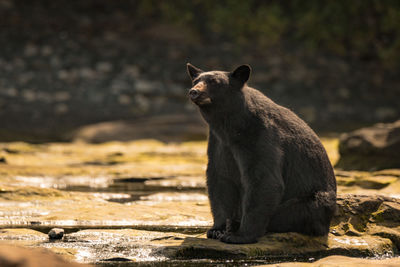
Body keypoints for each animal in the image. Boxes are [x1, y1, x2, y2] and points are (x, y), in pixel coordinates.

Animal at [186, 63, 336, 245]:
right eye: (195, 80)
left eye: (214, 82)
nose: (194, 91)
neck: (231, 124)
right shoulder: (219, 142)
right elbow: (221, 178)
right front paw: (216, 229)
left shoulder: (261, 135)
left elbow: (264, 179)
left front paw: (238, 235)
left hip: (314, 202)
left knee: (293, 212)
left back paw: (236, 223)